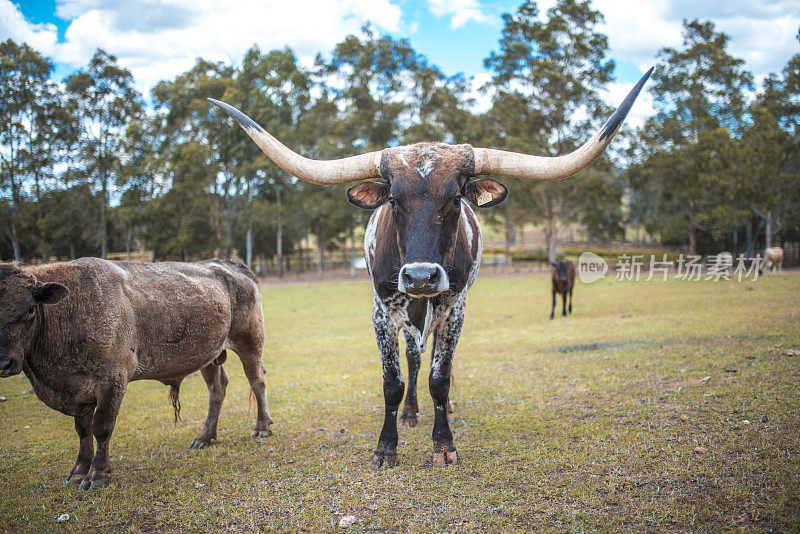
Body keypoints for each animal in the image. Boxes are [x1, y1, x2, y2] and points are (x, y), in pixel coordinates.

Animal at [0, 258, 272, 490]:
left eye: (30, 310)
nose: (4, 363)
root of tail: (230, 263)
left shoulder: (112, 379)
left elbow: (101, 427)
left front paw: (97, 475)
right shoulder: (78, 390)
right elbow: (83, 430)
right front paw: (79, 470)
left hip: (250, 340)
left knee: (257, 381)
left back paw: (262, 427)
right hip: (210, 354)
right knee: (216, 389)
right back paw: (205, 437)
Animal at [209, 67, 652, 468]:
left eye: (456, 198)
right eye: (393, 200)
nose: (421, 276)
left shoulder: (454, 308)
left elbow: (440, 377)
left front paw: (444, 444)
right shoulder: (381, 312)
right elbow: (393, 381)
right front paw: (386, 446)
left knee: (436, 359)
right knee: (414, 356)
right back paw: (410, 412)